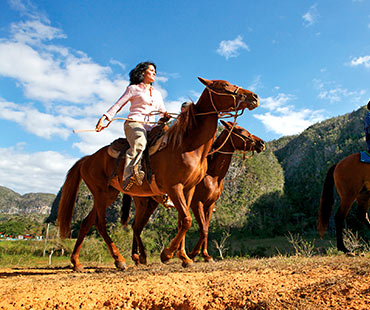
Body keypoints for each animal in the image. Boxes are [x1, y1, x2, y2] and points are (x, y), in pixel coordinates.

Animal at [121, 120, 266, 266]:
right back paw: (138, 257)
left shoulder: (209, 205)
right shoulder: (197, 204)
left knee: (137, 226)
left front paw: (204, 255)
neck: (212, 175)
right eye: (240, 130)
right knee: (136, 226)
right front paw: (193, 254)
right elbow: (203, 229)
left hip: (150, 204)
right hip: (143, 203)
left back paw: (138, 258)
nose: (261, 143)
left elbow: (205, 228)